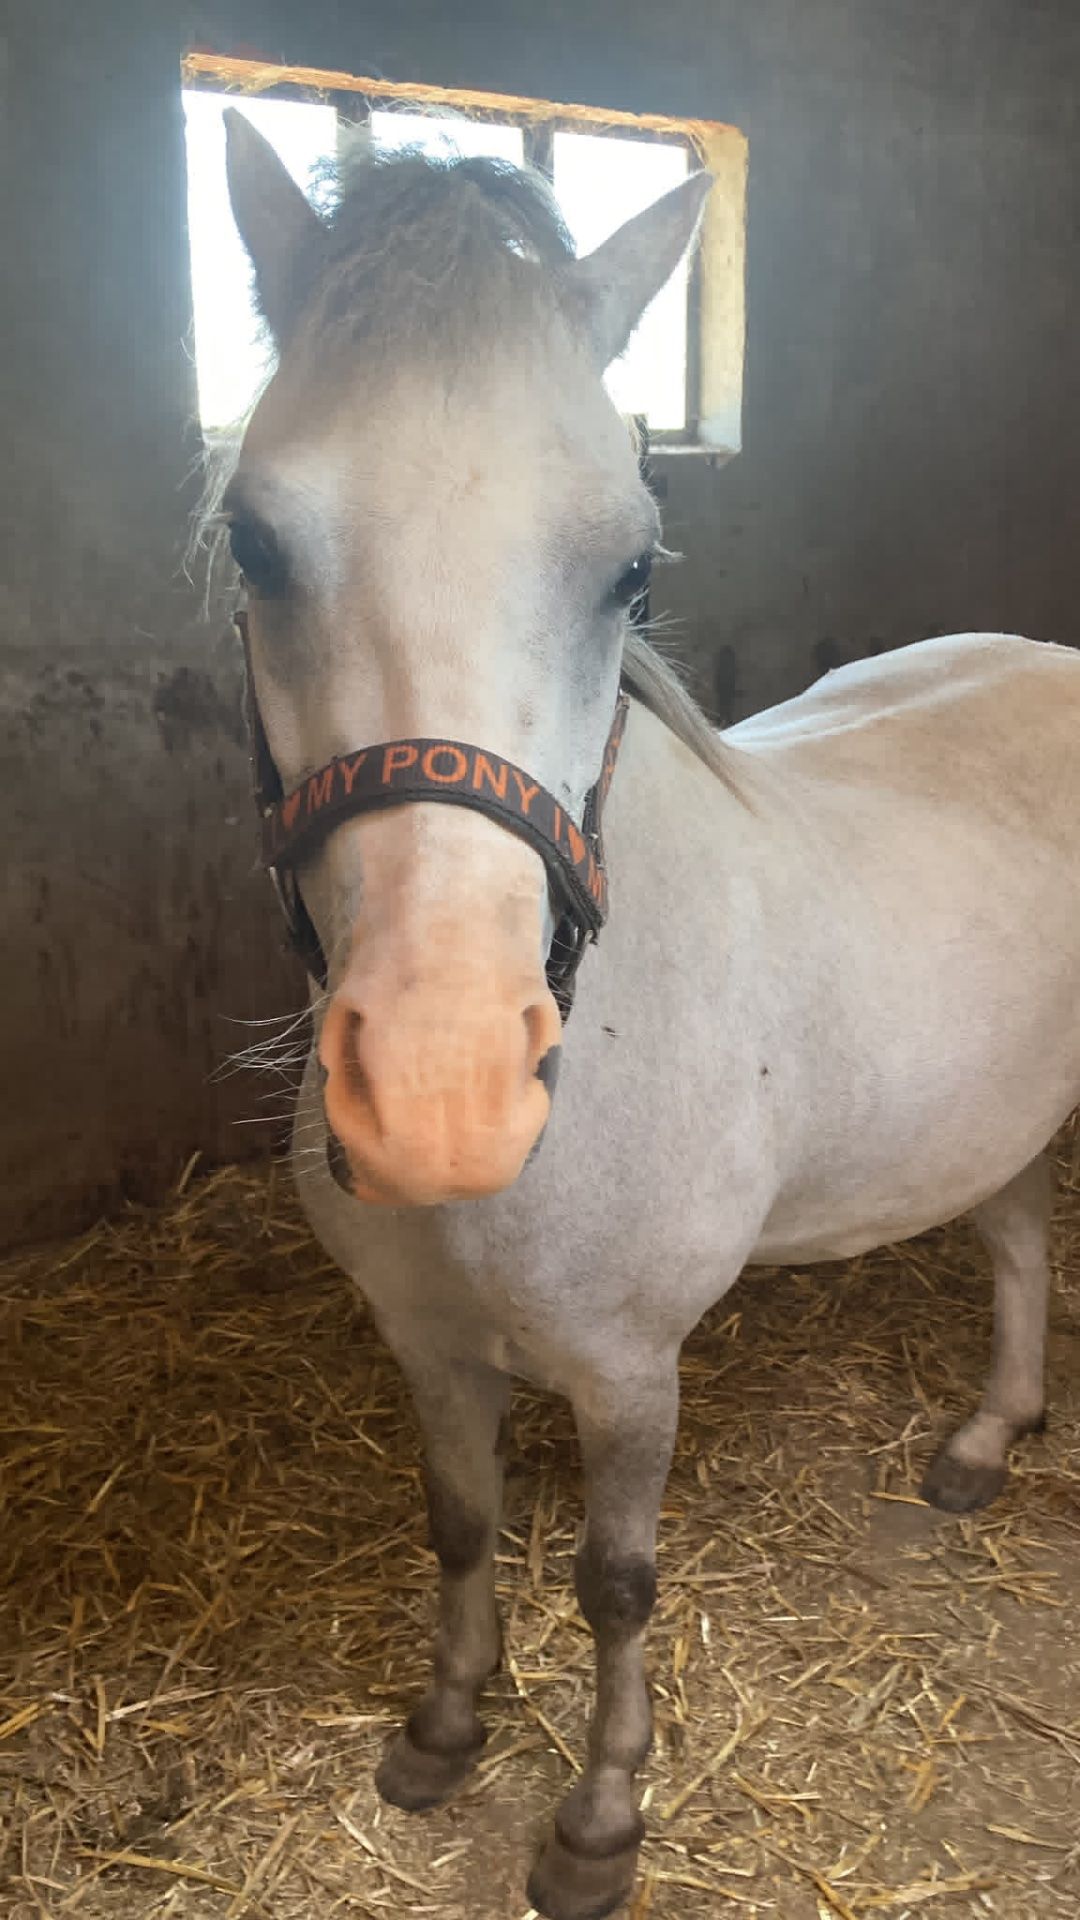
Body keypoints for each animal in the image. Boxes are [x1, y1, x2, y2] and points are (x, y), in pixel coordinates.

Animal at [219, 111, 1079, 1920]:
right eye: (256, 541)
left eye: (630, 563)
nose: (443, 1091)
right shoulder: (427, 1345)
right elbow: (460, 1527)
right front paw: (443, 1731)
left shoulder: (629, 1373)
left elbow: (616, 1581)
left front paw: (602, 1816)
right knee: (1021, 1231)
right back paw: (986, 1437)